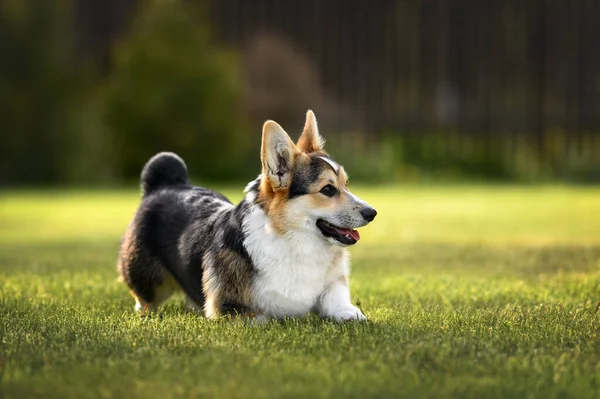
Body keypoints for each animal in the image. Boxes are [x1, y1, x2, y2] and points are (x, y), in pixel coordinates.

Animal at [118, 111, 376, 324]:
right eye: (328, 190)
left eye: (346, 184)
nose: (372, 213)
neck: (296, 241)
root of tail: (165, 185)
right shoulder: (229, 307)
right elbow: (265, 318)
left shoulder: (333, 286)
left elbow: (340, 304)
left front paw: (350, 314)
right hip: (149, 281)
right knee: (145, 299)